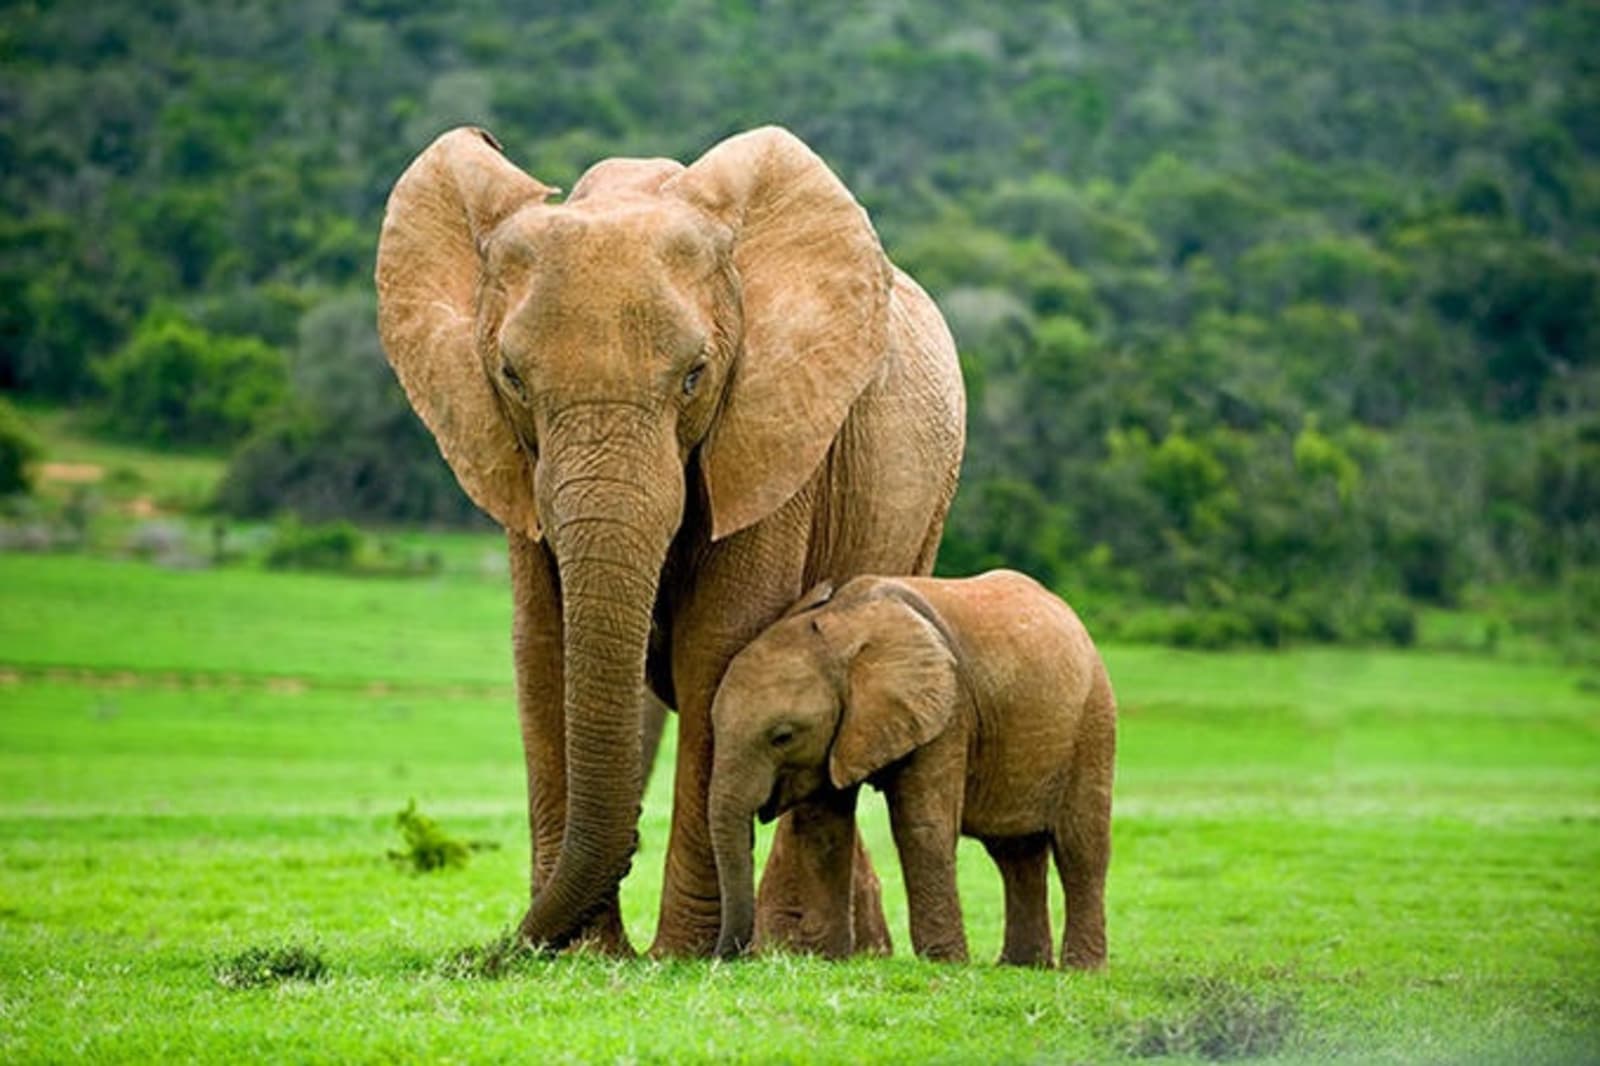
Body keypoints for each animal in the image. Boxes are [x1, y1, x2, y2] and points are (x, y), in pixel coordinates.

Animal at [374, 125, 964, 956]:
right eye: (512, 378)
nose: (499, 952)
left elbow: (718, 644)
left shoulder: (772, 427)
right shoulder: (512, 459)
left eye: (694, 376)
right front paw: (584, 955)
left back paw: (802, 948)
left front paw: (681, 956)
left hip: (926, 504)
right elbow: (544, 643)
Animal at [709, 571, 1116, 969]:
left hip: (1093, 721)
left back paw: (1081, 969)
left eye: (783, 736)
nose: (723, 958)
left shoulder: (946, 711)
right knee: (1015, 852)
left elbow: (922, 826)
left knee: (1080, 846)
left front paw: (944, 964)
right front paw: (828, 959)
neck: (842, 627)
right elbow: (824, 830)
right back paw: (1020, 967)